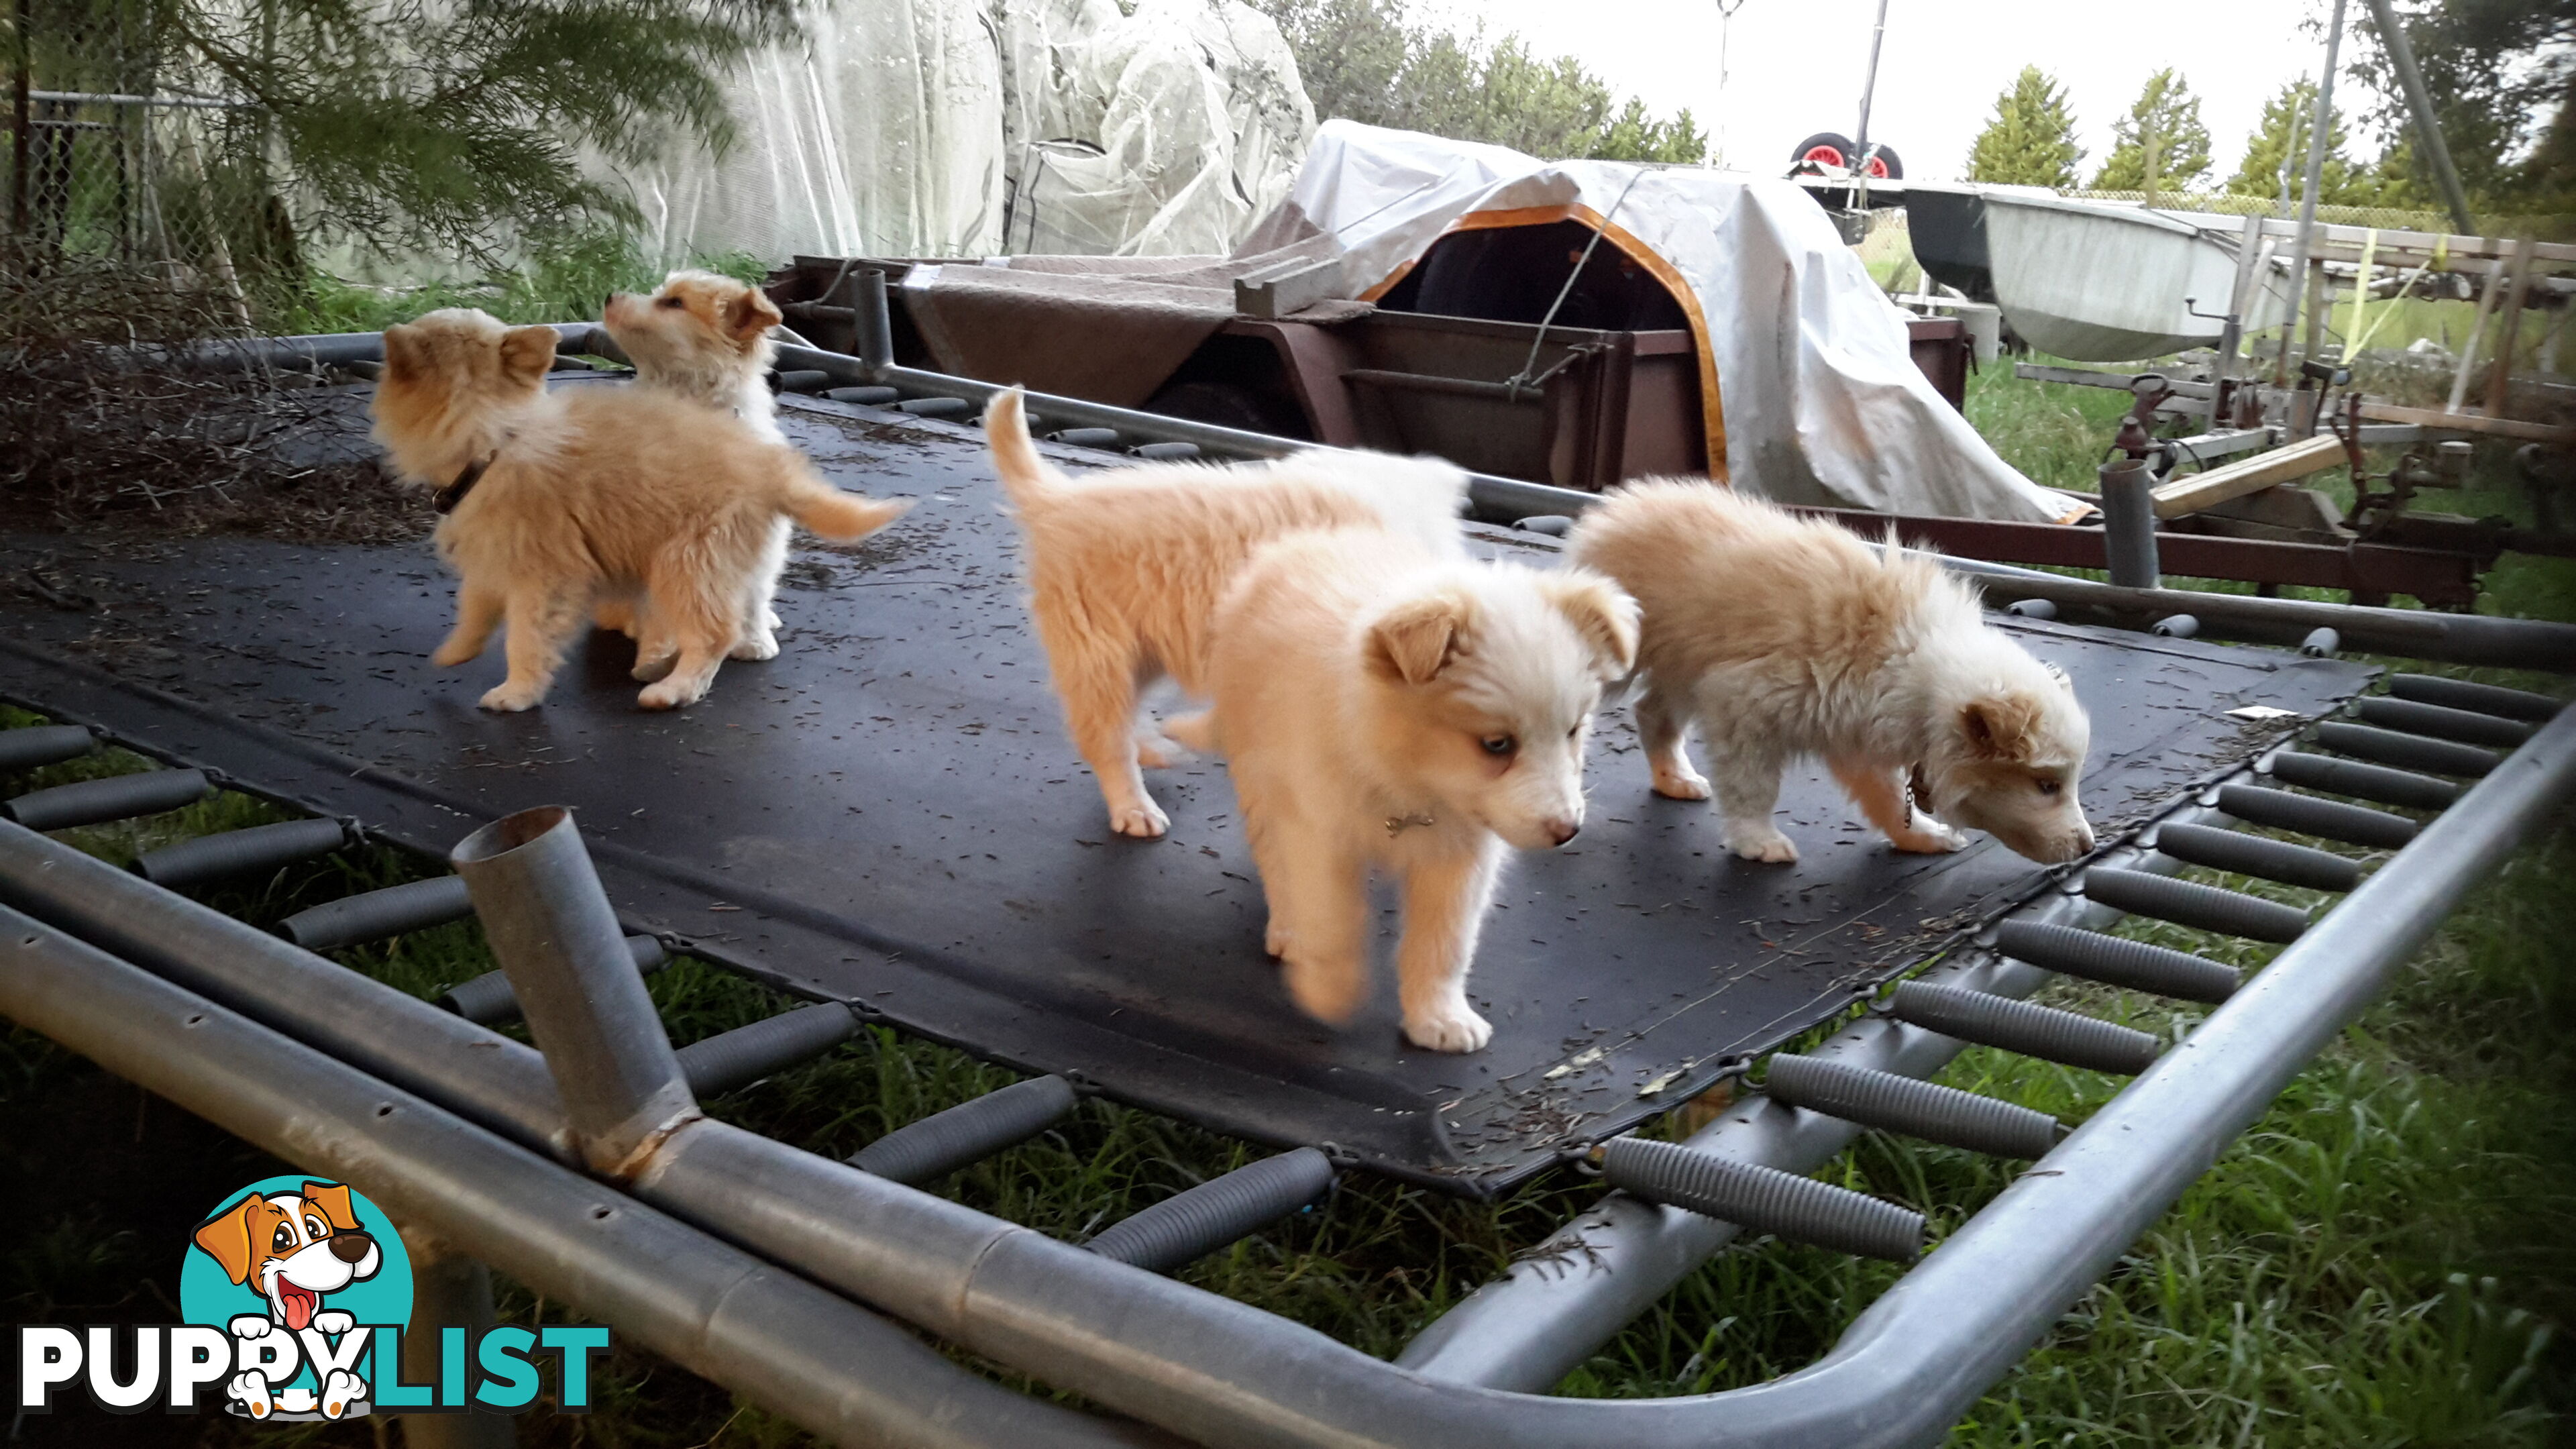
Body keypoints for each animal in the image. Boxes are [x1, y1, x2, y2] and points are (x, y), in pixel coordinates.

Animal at [983, 386, 1473, 835]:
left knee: (1128, 717)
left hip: (1143, 646)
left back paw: (1158, 751)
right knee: (1106, 736)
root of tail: (1055, 499)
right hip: (1099, 645)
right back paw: (1134, 807)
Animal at [1169, 523, 1627, 1041]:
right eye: (1497, 744)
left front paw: (1440, 1017)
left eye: (1573, 731)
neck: (1407, 781)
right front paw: (1330, 991)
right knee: (1275, 857)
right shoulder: (1318, 829)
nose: (1567, 831)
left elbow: (1445, 941)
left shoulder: (1461, 856)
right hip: (1260, 772)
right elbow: (1330, 917)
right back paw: (1289, 929)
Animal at [1566, 479, 2092, 861]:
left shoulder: (1859, 734)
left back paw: (1675, 779)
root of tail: (1613, 509)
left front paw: (1921, 836)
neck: (1918, 665)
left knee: (1652, 711)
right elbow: (1752, 785)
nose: (2088, 848)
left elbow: (1887, 798)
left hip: (1683, 665)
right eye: (2047, 786)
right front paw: (1758, 841)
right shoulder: (1744, 704)